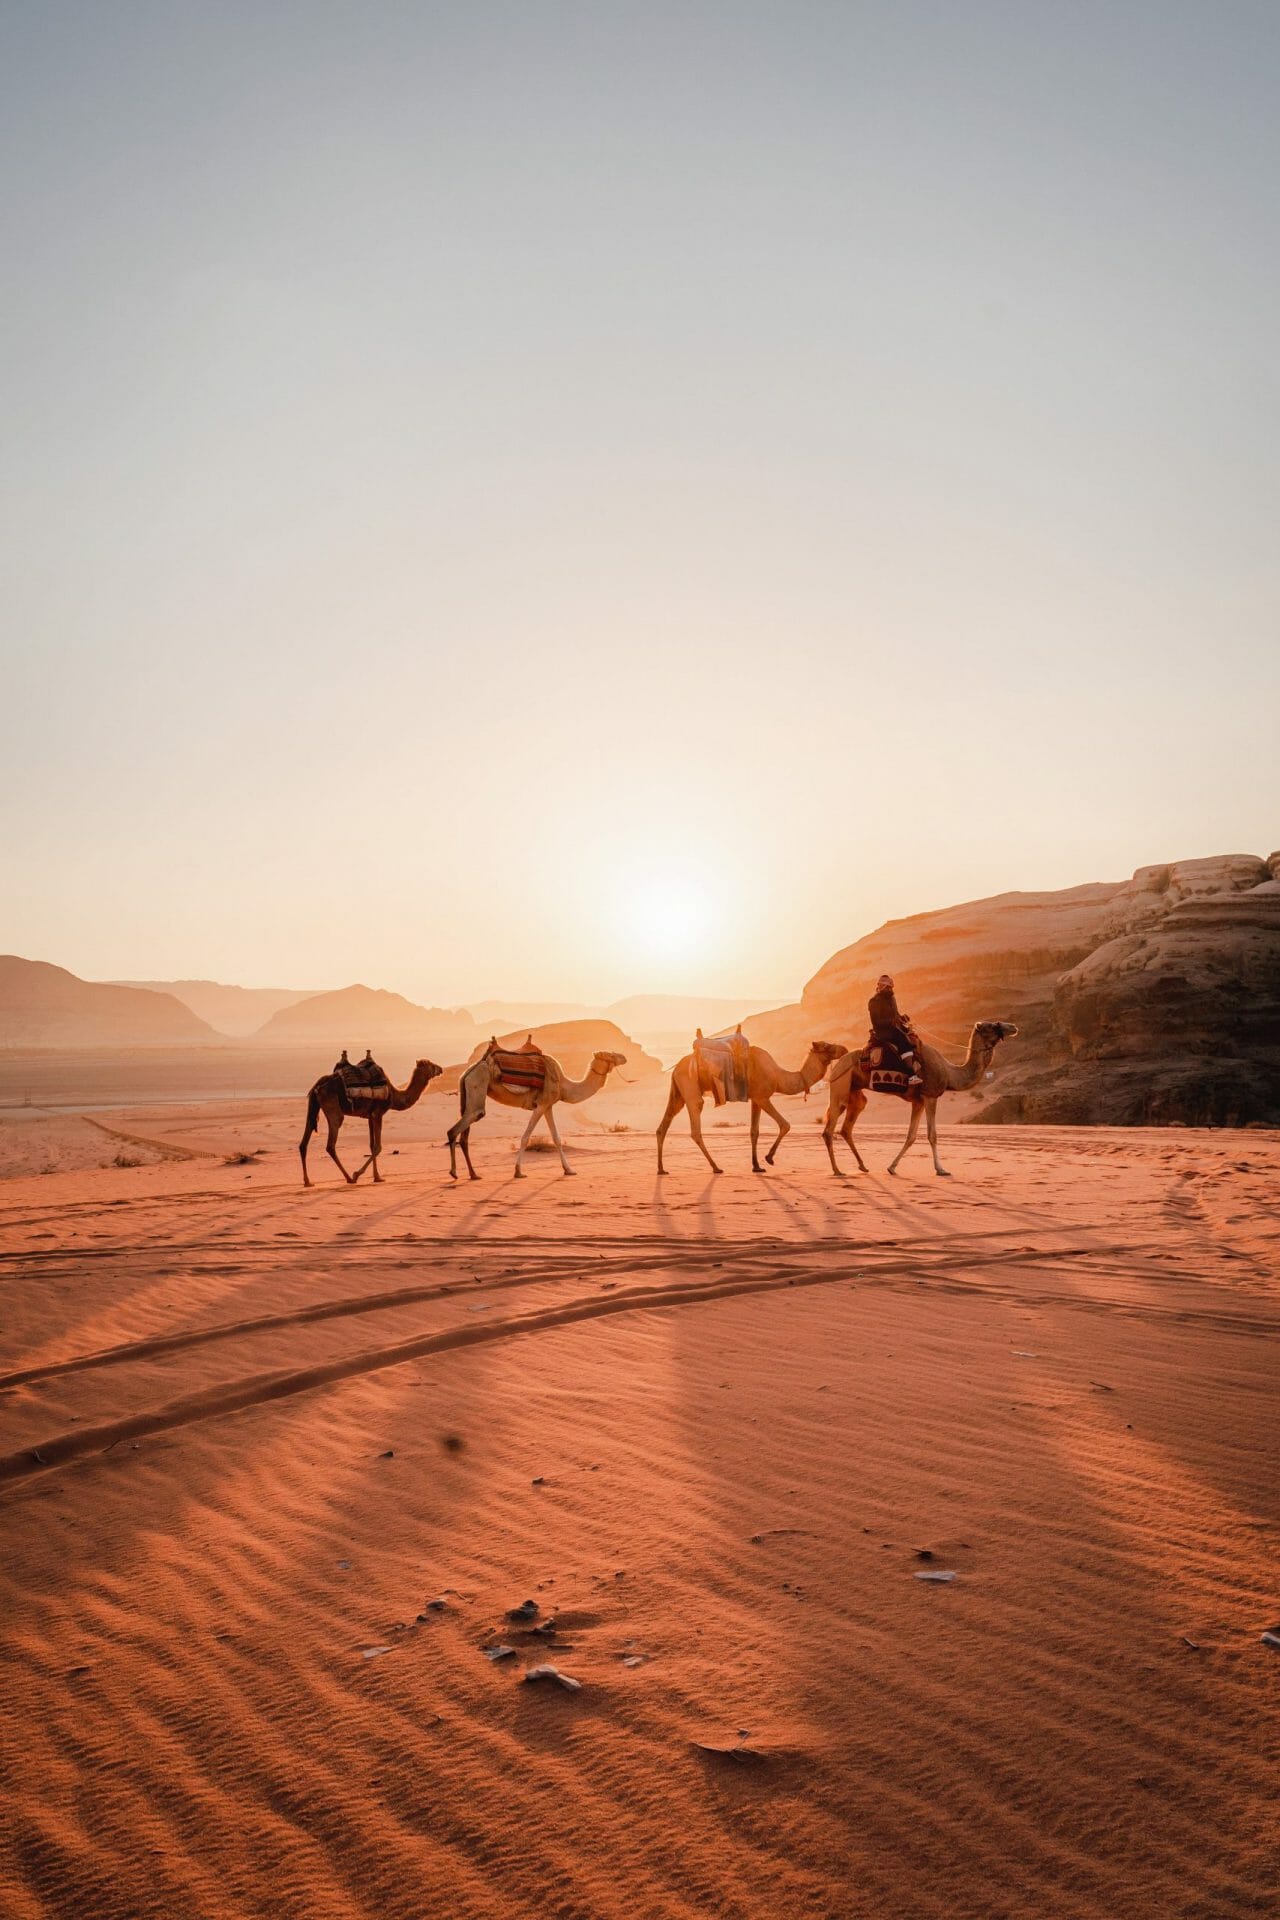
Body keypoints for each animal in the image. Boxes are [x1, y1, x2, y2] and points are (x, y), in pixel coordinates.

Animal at [297, 1059, 443, 1190]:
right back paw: (349, 1178)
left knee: (304, 1142)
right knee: (331, 1144)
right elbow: (378, 1147)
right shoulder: (378, 1113)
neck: (394, 1095)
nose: (441, 1068)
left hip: (314, 1106)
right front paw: (357, 1174)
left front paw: (377, 1177)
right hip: (333, 1107)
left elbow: (372, 1145)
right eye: (431, 1065)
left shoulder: (370, 1116)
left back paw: (307, 1181)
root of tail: (317, 1086)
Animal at [449, 1044, 629, 1175]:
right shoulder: (541, 1105)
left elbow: (556, 1138)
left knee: (463, 1135)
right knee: (458, 1127)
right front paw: (518, 1171)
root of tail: (468, 1071)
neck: (563, 1085)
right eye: (609, 1054)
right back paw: (455, 1173)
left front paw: (569, 1170)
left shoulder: (548, 1106)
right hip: (478, 1086)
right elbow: (525, 1137)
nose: (624, 1057)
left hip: (468, 1096)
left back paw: (473, 1174)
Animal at [656, 1036, 844, 1167]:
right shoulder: (762, 1097)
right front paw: (769, 1158)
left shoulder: (755, 1099)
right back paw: (715, 1167)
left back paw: (661, 1169)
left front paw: (756, 1166)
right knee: (695, 1125)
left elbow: (754, 1131)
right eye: (827, 1046)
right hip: (690, 1086)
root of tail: (676, 1069)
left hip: (678, 1093)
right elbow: (785, 1124)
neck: (778, 1077)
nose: (844, 1048)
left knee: (664, 1125)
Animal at [821, 1021, 1020, 1167]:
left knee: (846, 1127)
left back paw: (862, 1166)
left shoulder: (918, 1101)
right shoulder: (931, 1095)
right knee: (830, 1128)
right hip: (840, 1085)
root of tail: (837, 1064)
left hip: (855, 1091)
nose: (1013, 1027)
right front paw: (940, 1169)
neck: (950, 1073)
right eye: (992, 1025)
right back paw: (837, 1170)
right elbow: (932, 1135)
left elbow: (911, 1136)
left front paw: (892, 1167)